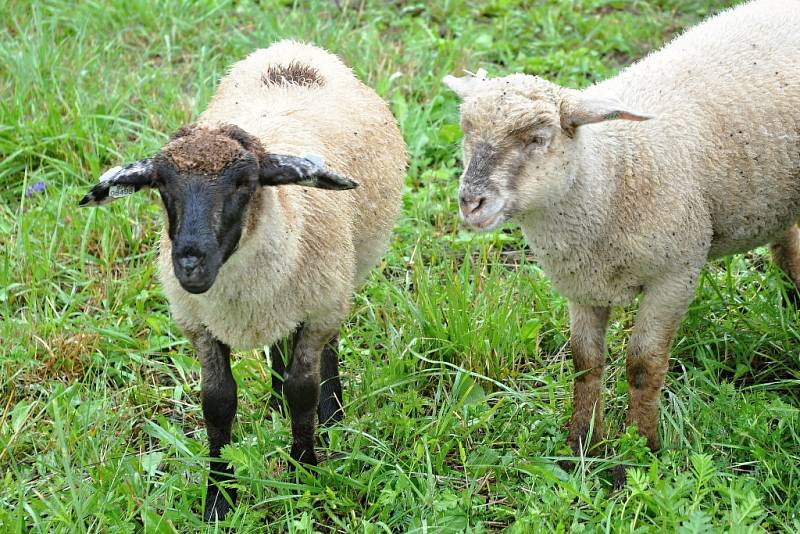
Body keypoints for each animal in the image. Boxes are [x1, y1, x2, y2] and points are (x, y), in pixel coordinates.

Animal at [80, 40, 406, 520]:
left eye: (245, 182)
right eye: (162, 185)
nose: (190, 264)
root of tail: (294, 48)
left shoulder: (317, 309)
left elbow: (302, 391)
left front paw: (303, 473)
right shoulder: (199, 324)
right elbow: (218, 403)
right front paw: (218, 498)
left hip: (335, 287)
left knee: (326, 349)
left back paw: (332, 416)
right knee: (278, 347)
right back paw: (274, 405)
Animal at [444, 0, 800, 486]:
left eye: (539, 138)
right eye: (465, 130)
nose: (471, 202)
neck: (611, 173)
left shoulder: (676, 274)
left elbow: (643, 365)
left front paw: (641, 450)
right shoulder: (581, 285)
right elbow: (585, 361)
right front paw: (581, 446)